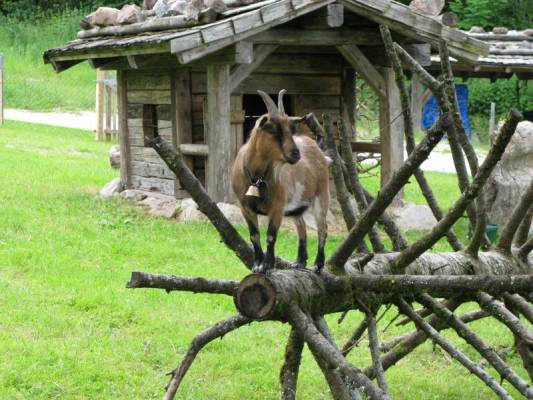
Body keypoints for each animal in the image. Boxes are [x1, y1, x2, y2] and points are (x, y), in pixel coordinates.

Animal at [232, 89, 328, 274]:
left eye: (291, 129)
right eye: (274, 131)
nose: (296, 154)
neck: (256, 177)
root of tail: (317, 148)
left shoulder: (277, 206)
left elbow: (271, 236)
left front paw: (268, 266)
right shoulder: (245, 206)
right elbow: (254, 236)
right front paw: (257, 265)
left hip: (321, 195)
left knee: (323, 229)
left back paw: (317, 265)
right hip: (296, 206)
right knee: (302, 227)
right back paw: (299, 262)